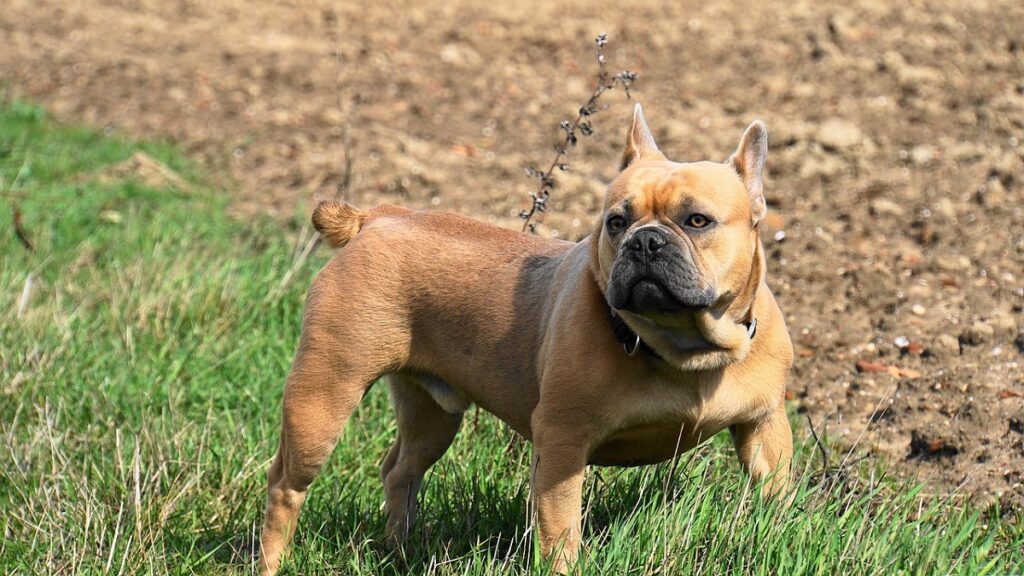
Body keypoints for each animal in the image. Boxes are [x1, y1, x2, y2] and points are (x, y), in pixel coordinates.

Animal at [260, 105, 794, 569]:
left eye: (697, 221)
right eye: (615, 222)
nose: (644, 241)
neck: (684, 347)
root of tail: (375, 218)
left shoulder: (765, 427)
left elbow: (775, 495)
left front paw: (776, 537)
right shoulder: (561, 443)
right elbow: (561, 530)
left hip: (431, 413)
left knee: (401, 470)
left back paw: (400, 550)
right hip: (323, 396)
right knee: (285, 485)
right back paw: (272, 561)